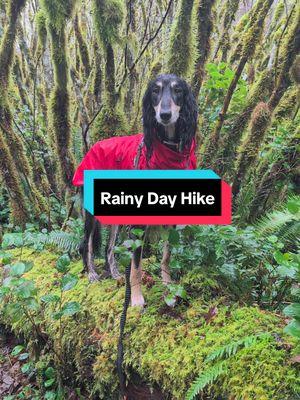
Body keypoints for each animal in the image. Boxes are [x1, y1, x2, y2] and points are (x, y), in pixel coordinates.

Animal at [72, 74, 198, 306]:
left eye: (178, 90)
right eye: (155, 91)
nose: (165, 115)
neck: (169, 152)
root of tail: (92, 147)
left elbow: (166, 257)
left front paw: (168, 288)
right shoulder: (138, 224)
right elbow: (136, 266)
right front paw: (137, 299)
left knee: (109, 246)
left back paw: (114, 273)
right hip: (91, 211)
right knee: (86, 243)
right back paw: (92, 272)